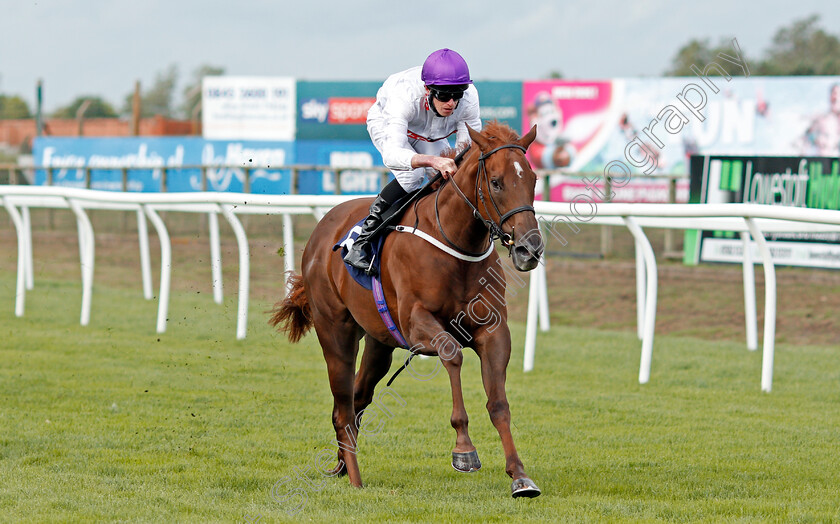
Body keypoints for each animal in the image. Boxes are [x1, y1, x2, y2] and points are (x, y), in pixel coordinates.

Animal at [270, 121, 544, 498]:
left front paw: (520, 475)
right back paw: (355, 478)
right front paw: (464, 449)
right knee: (342, 408)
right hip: (335, 332)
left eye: (532, 180)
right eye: (496, 182)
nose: (529, 248)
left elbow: (499, 403)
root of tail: (322, 230)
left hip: (378, 342)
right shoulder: (416, 324)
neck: (454, 242)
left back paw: (342, 465)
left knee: (357, 398)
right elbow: (452, 353)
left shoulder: (493, 331)